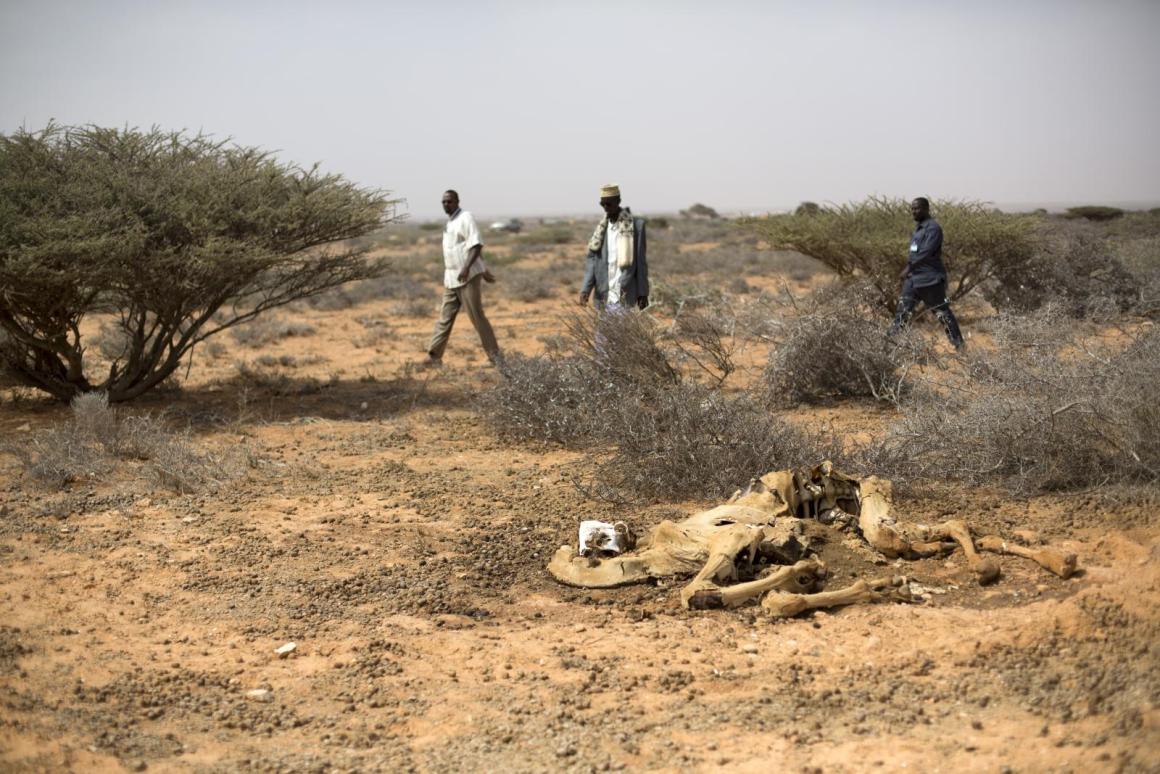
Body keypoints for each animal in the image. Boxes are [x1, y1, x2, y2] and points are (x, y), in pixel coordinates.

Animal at [548, 462, 1077, 617]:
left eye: (600, 535)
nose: (613, 536)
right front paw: (804, 573)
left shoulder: (727, 536)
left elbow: (697, 590)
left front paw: (804, 572)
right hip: (879, 522)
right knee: (954, 529)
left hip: (881, 522)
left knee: (940, 529)